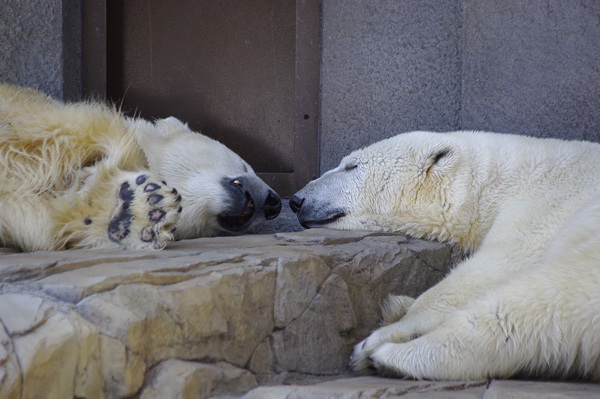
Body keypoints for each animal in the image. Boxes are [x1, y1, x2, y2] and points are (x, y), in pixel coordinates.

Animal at [290, 132, 600, 382]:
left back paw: (383, 354)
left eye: (351, 166)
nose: (296, 200)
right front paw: (399, 304)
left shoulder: (544, 205)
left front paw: (393, 326)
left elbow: (499, 263)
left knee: (531, 304)